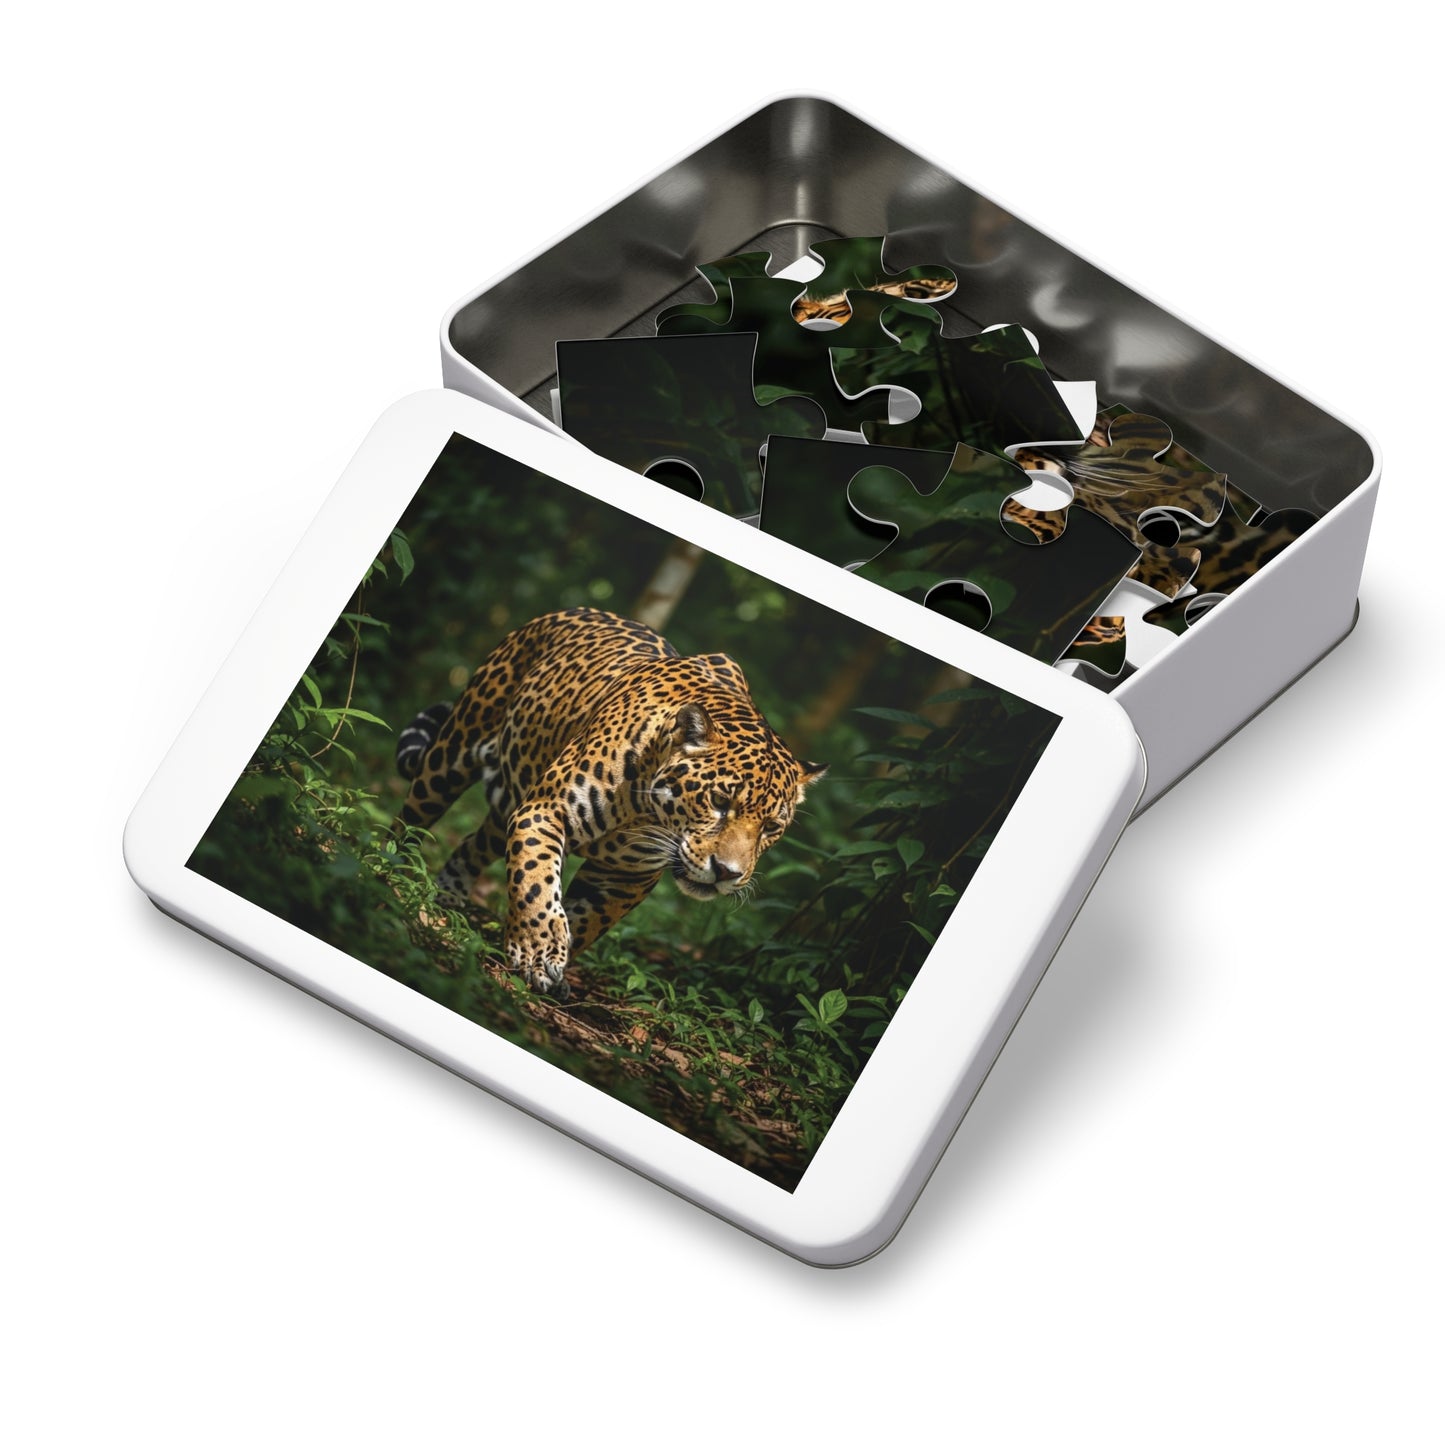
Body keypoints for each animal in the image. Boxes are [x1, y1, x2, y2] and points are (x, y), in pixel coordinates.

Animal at [395, 608, 826, 1000]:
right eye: (719, 800)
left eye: (771, 828)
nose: (726, 873)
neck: (646, 812)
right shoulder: (544, 810)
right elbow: (536, 881)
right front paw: (537, 953)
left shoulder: (627, 876)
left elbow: (587, 920)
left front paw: (551, 963)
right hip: (451, 757)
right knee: (411, 821)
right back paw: (396, 875)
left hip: (508, 802)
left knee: (473, 844)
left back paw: (448, 896)